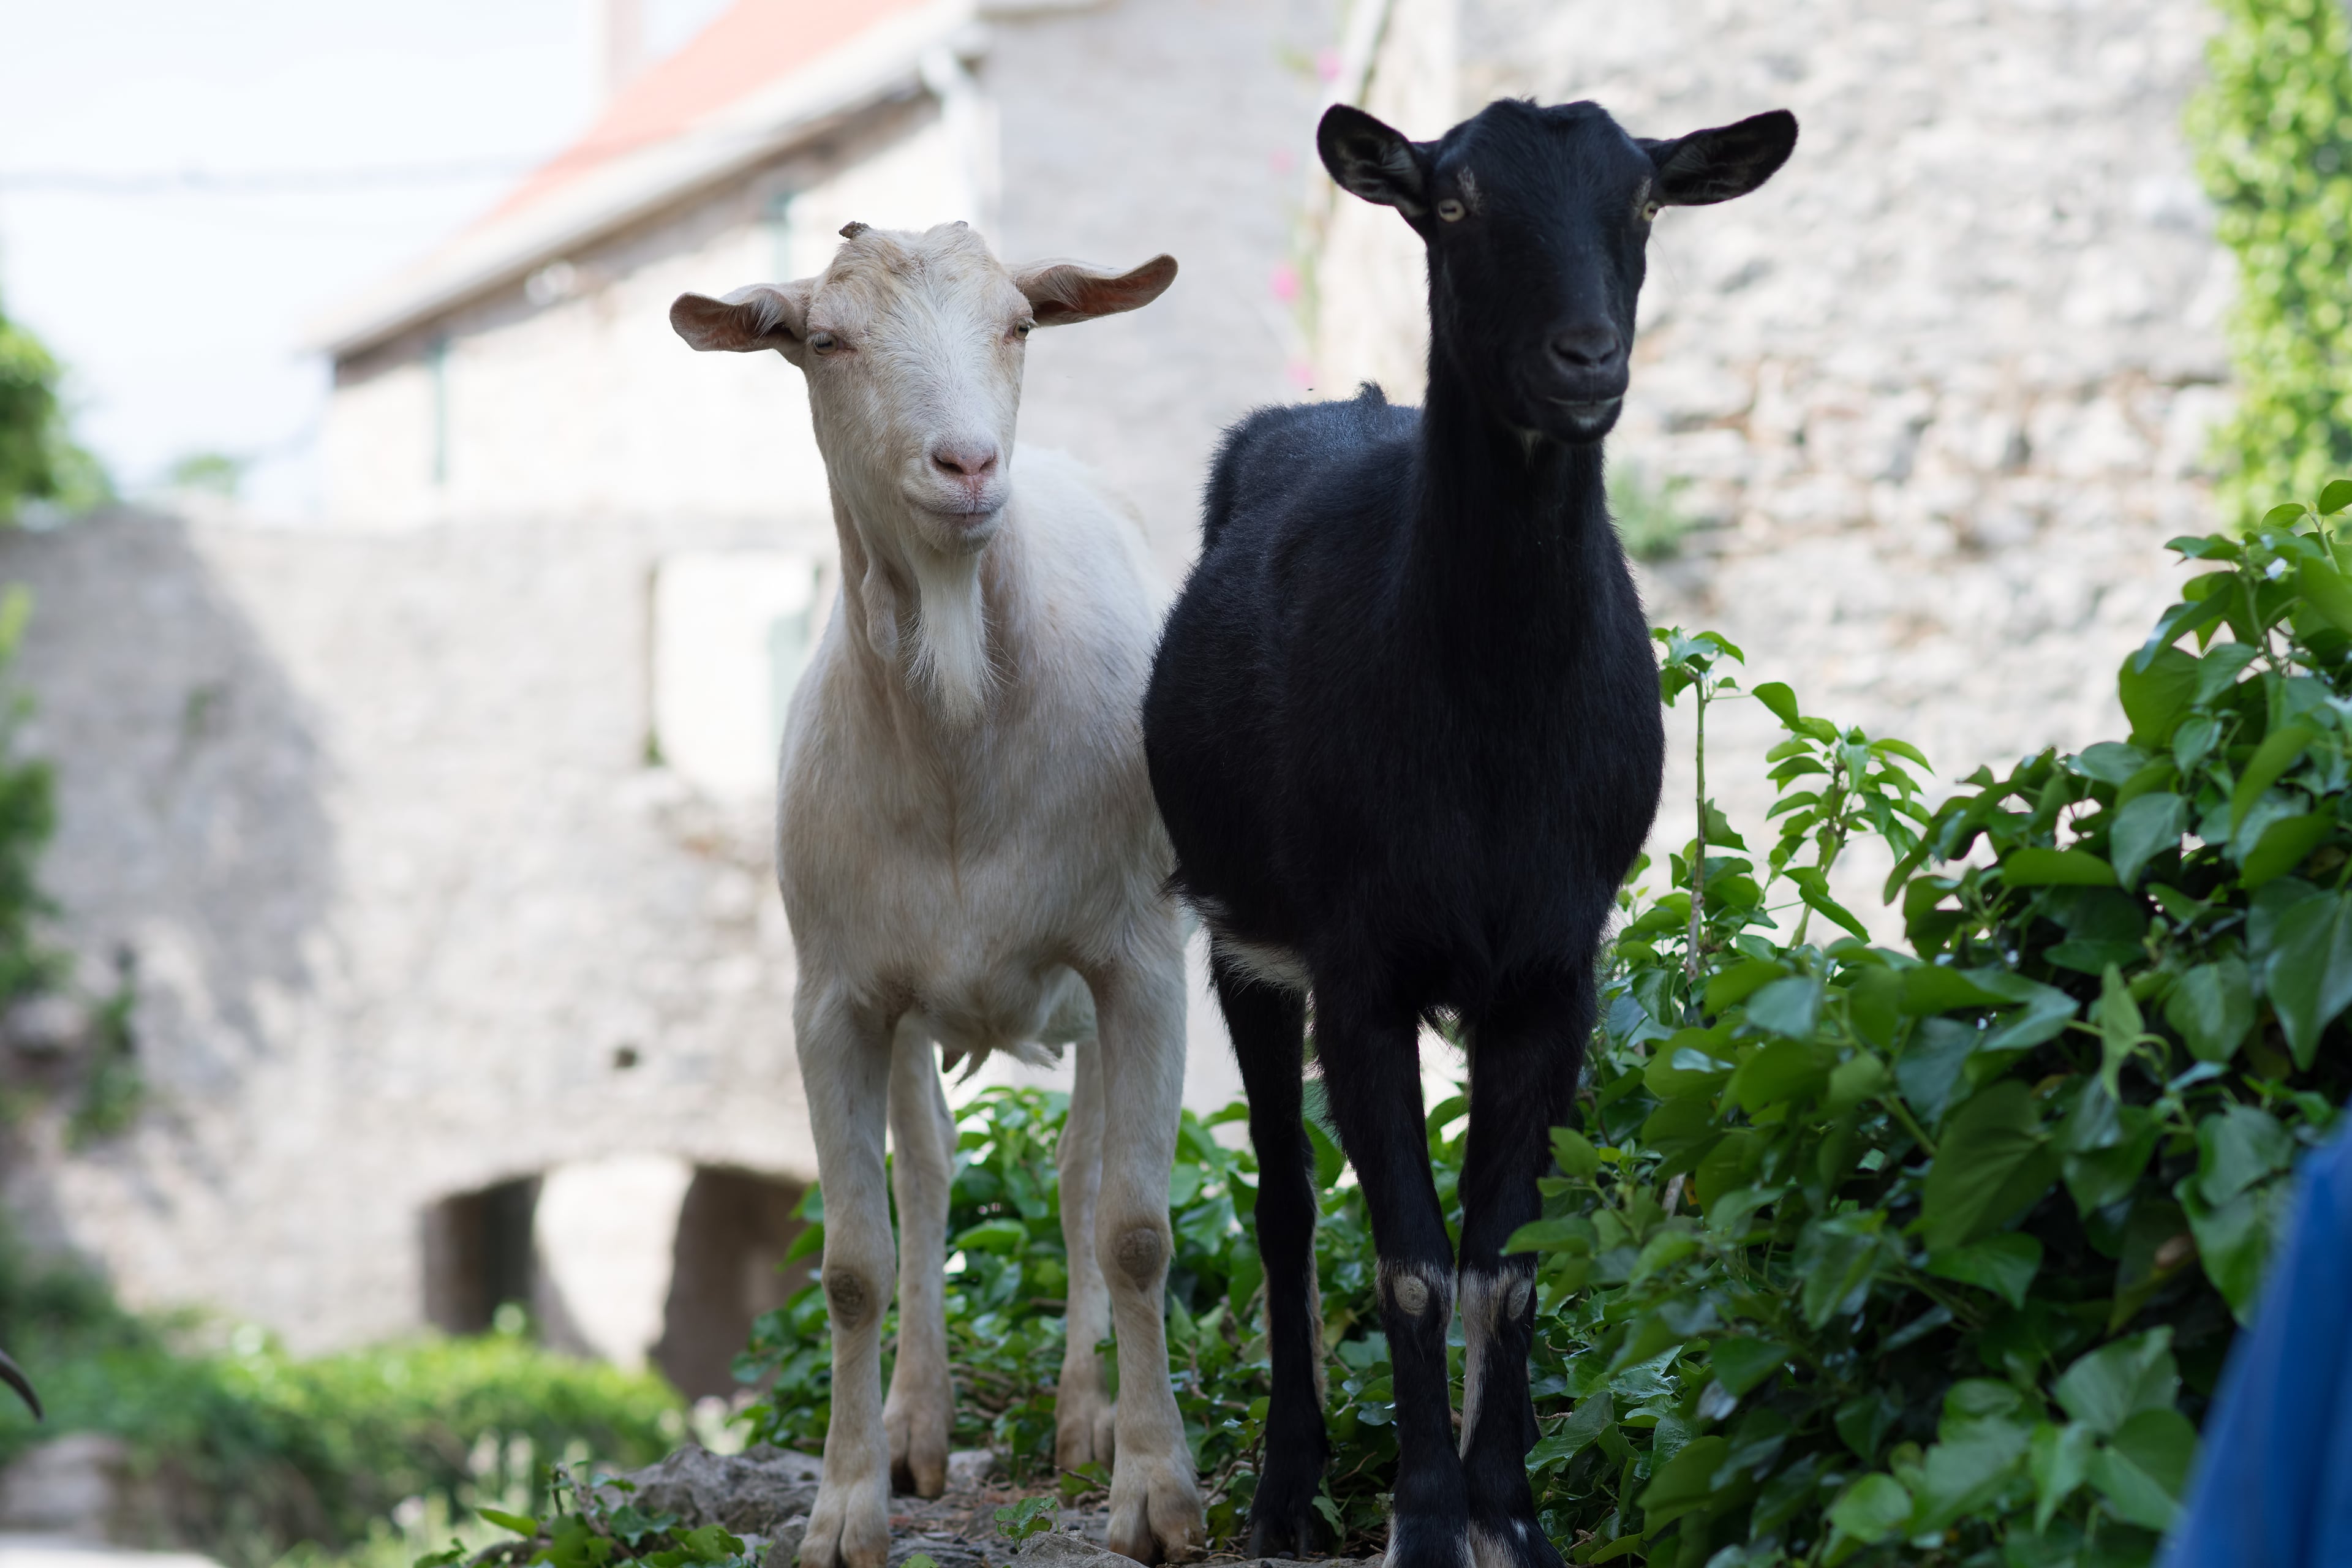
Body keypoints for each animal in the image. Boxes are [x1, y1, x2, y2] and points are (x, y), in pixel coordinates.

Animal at [677, 223, 1204, 1568]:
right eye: (825, 339)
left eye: (1019, 324)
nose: (967, 464)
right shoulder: (833, 997)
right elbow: (855, 1259)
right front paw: (844, 1506)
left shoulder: (1139, 963)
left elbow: (1135, 1226)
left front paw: (1155, 1492)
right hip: (912, 1005)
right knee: (929, 1171)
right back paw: (919, 1424)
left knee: (1075, 1176)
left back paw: (1084, 1417)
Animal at [1147, 98, 1787, 1568]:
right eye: (1453, 204)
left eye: (1646, 203)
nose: (1585, 359)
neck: (1489, 727)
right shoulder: (1359, 964)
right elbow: (1408, 1261)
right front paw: (1428, 1517)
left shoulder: (1554, 968)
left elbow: (1509, 1262)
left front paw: (1514, 1511)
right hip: (1239, 937)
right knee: (1283, 1202)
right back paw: (1288, 1486)